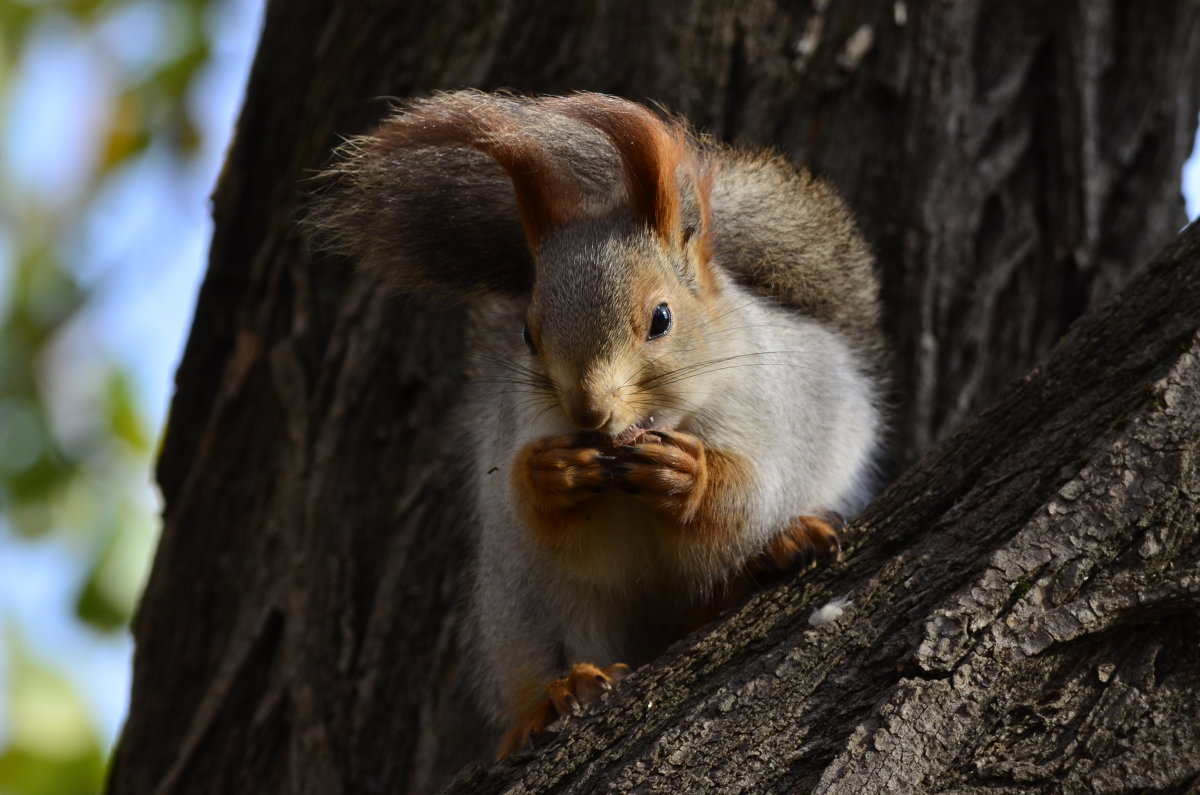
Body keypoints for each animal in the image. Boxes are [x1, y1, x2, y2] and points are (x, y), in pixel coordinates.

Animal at [304, 91, 888, 758]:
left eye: (661, 318)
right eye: (527, 334)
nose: (588, 410)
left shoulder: (772, 410)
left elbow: (745, 494)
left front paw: (686, 474)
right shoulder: (516, 429)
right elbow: (547, 514)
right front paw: (554, 472)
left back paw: (787, 544)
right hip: (524, 605)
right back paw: (559, 694)